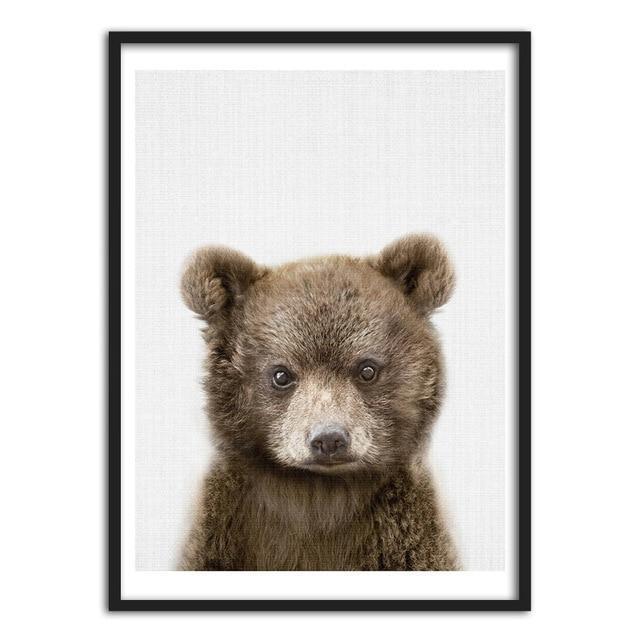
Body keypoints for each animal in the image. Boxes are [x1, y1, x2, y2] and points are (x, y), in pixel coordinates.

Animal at [179, 234, 460, 571]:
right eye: (281, 374)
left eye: (367, 369)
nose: (329, 439)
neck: (318, 495)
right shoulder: (222, 534)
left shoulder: (403, 538)